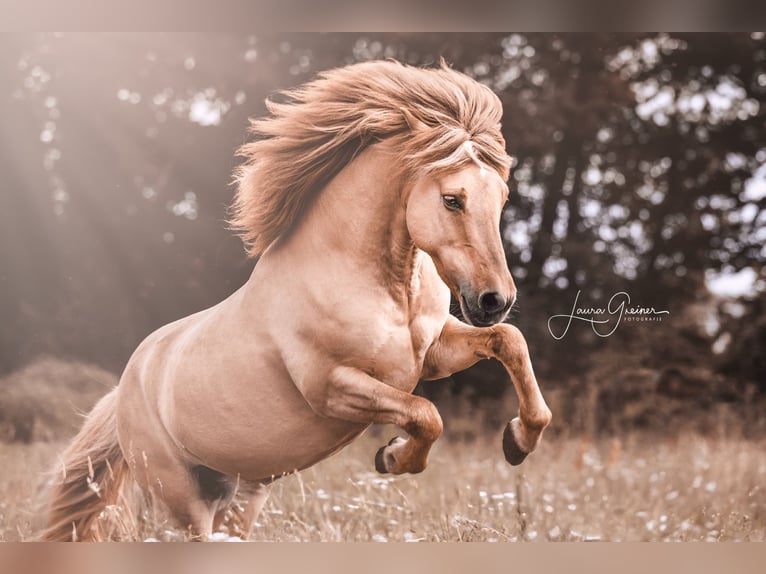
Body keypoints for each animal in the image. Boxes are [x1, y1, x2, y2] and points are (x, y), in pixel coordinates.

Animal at [41, 59, 552, 541]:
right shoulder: (333, 386)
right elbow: (428, 417)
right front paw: (390, 457)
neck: (385, 290)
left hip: (240, 495)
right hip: (183, 500)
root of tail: (124, 388)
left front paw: (517, 441)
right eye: (452, 199)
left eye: (501, 196)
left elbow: (510, 342)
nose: (495, 299)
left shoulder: (431, 356)